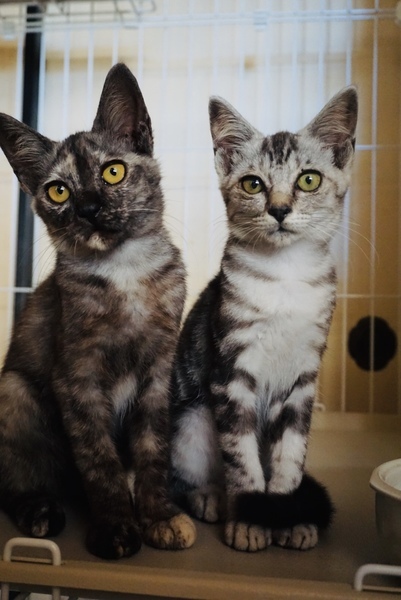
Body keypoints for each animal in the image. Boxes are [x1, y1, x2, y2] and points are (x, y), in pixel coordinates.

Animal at [0, 63, 196, 559]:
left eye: (113, 171)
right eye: (57, 191)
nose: (88, 208)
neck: (125, 272)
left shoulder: (159, 373)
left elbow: (153, 450)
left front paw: (158, 517)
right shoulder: (77, 378)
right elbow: (99, 460)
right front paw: (115, 528)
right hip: (14, 389)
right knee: (18, 478)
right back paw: (39, 511)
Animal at [170, 87, 358, 552]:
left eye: (308, 179)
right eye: (252, 184)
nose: (279, 209)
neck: (285, 277)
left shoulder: (304, 377)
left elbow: (290, 455)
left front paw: (287, 517)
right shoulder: (231, 370)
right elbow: (241, 455)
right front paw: (250, 519)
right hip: (191, 421)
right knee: (180, 479)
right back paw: (211, 497)